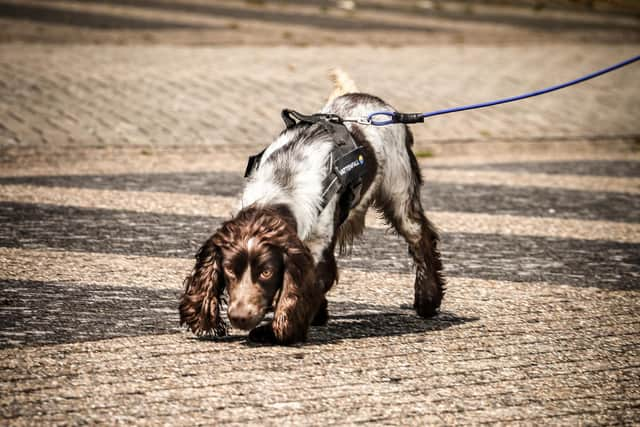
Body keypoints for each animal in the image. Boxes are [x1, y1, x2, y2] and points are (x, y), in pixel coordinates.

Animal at [178, 69, 442, 344]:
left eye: (266, 272)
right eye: (229, 270)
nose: (240, 317)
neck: (281, 186)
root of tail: (368, 99)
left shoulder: (316, 249)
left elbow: (304, 288)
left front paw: (275, 330)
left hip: (399, 192)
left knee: (420, 238)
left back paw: (427, 300)